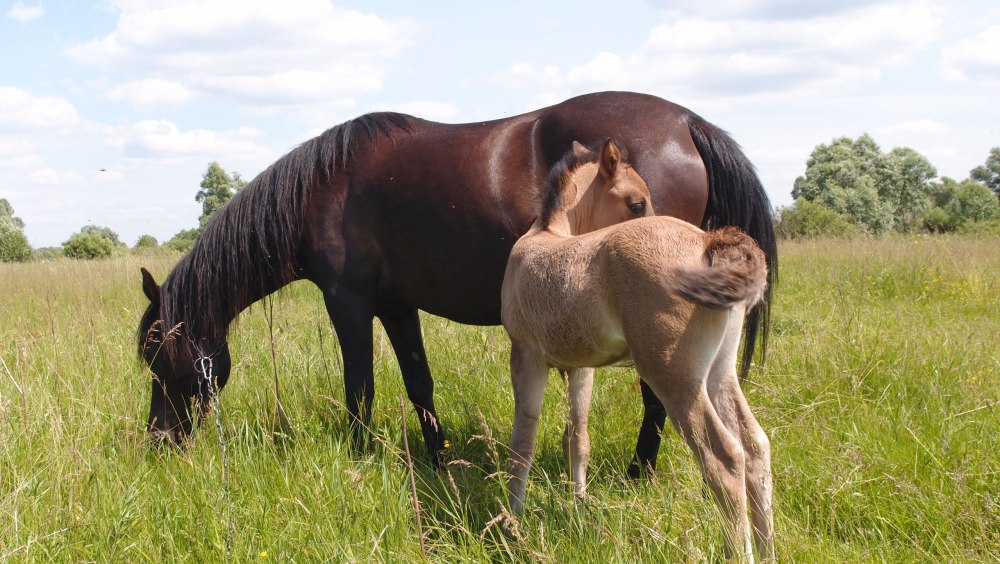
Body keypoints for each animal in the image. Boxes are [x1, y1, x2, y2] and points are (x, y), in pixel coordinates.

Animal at [137, 89, 772, 476]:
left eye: (156, 355)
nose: (159, 444)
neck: (321, 191)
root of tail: (689, 123)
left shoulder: (348, 305)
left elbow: (360, 390)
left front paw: (360, 459)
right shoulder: (397, 307)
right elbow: (419, 384)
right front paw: (439, 459)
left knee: (659, 399)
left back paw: (639, 474)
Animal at [500, 140, 772, 560]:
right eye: (636, 203)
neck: (547, 234)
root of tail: (708, 242)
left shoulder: (526, 355)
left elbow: (522, 444)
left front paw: (513, 521)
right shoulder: (580, 366)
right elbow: (577, 436)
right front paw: (579, 505)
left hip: (675, 377)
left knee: (725, 460)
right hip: (718, 372)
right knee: (755, 446)